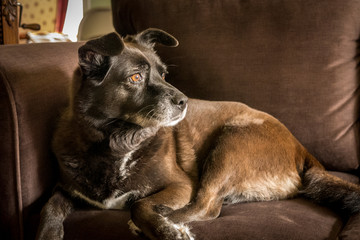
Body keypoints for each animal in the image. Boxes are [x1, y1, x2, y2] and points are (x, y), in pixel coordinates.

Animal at [36, 28, 360, 240]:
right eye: (135, 77)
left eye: (163, 74)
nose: (184, 101)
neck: (116, 143)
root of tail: (301, 148)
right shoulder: (65, 187)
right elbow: (49, 206)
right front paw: (48, 233)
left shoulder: (180, 184)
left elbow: (140, 204)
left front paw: (163, 229)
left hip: (230, 143)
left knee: (206, 206)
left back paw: (166, 221)